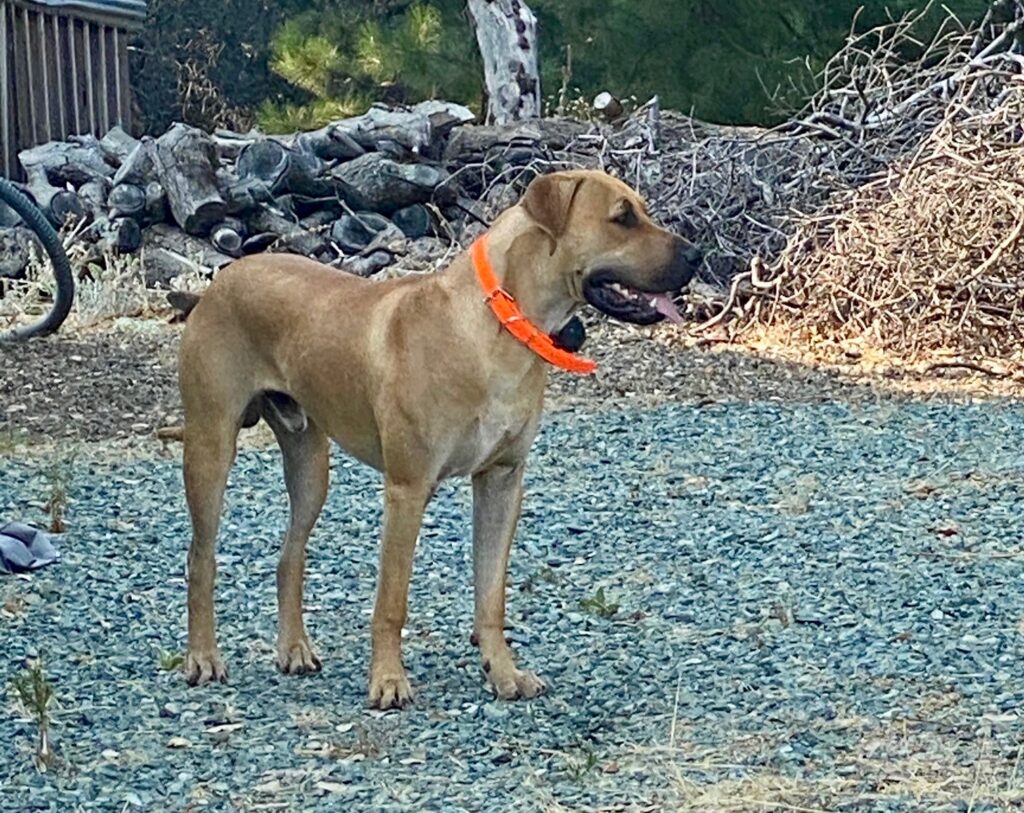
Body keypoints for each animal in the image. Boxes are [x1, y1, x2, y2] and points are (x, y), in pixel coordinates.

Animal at [178, 169, 704, 704]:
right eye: (622, 217)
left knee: (290, 556)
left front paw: (504, 672)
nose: (697, 254)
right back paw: (202, 658)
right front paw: (389, 680)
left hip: (310, 464)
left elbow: (491, 595)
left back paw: (294, 649)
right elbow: (391, 601)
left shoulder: (502, 481)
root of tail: (224, 279)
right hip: (210, 445)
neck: (500, 327)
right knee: (201, 558)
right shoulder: (408, 489)